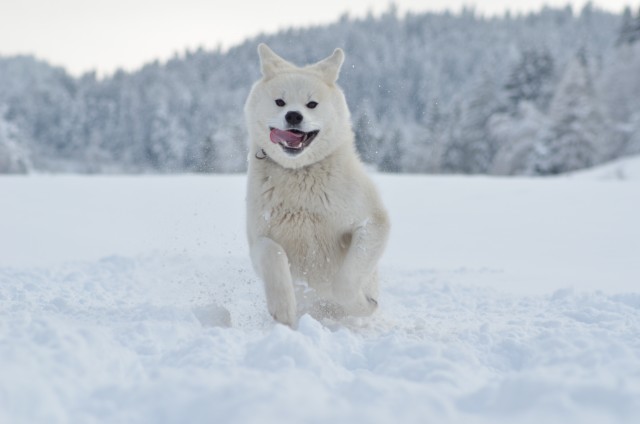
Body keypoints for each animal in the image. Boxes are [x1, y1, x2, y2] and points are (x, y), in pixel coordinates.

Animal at [244, 44, 388, 326]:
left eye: (312, 104)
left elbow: (345, 283)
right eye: (280, 101)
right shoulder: (258, 239)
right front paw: (283, 309)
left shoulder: (373, 222)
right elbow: (272, 253)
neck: (299, 173)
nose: (293, 115)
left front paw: (365, 305)